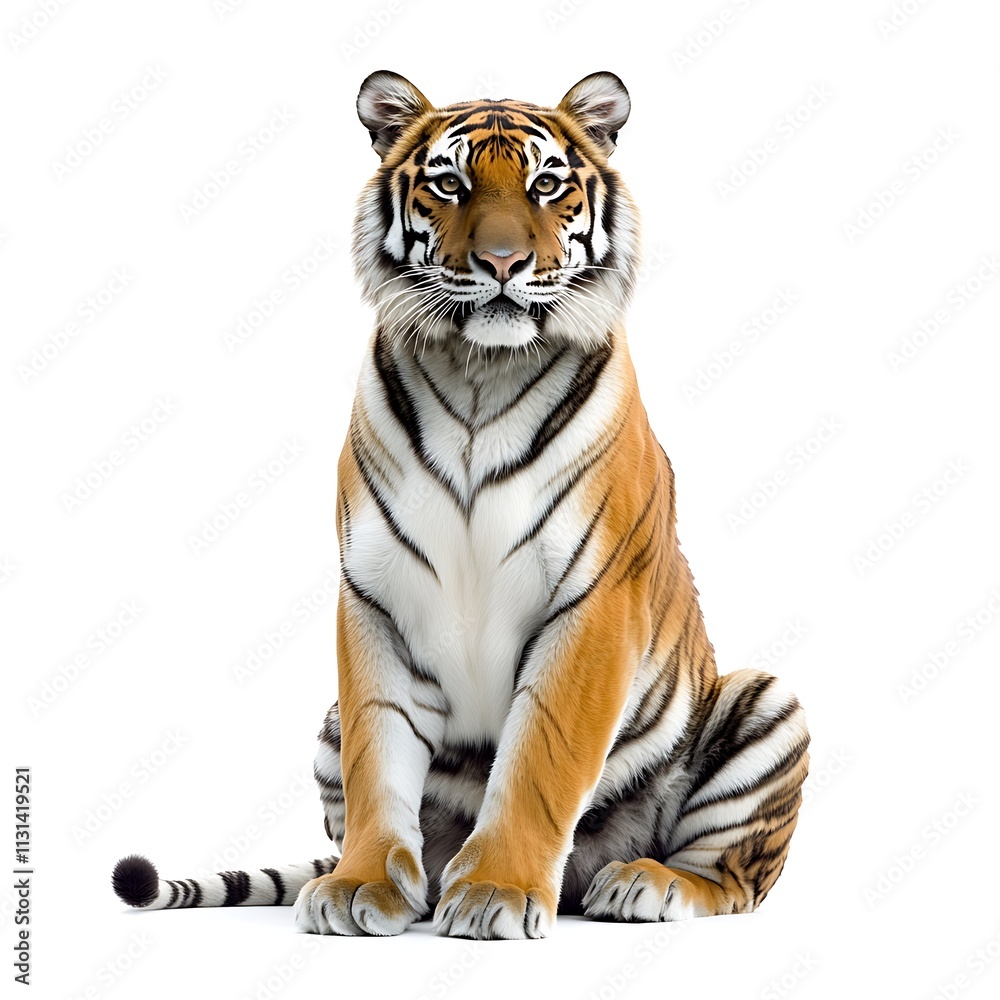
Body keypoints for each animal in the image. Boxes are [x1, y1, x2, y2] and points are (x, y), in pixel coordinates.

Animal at [112, 70, 810, 940]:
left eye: (546, 186)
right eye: (450, 184)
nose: (503, 261)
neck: (483, 370)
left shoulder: (593, 602)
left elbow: (541, 757)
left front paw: (497, 893)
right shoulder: (375, 597)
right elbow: (379, 755)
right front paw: (359, 886)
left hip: (766, 703)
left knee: (736, 878)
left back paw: (643, 884)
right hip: (326, 719)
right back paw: (417, 884)